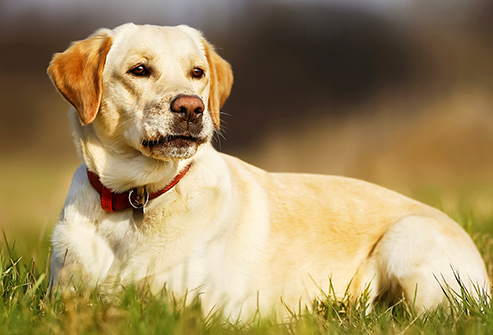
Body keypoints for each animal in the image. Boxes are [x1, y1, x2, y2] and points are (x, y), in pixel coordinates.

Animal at [47, 23, 488, 318]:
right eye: (139, 70)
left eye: (197, 73)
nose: (191, 108)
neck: (136, 196)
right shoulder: (64, 295)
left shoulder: (199, 308)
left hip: (407, 241)